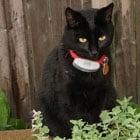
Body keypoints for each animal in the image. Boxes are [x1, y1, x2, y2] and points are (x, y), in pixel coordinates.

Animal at [37, 2, 116, 138]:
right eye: (82, 39)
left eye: (102, 38)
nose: (94, 52)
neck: (89, 69)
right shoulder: (67, 97)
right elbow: (74, 121)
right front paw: (81, 134)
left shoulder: (102, 93)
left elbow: (98, 118)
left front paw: (96, 134)